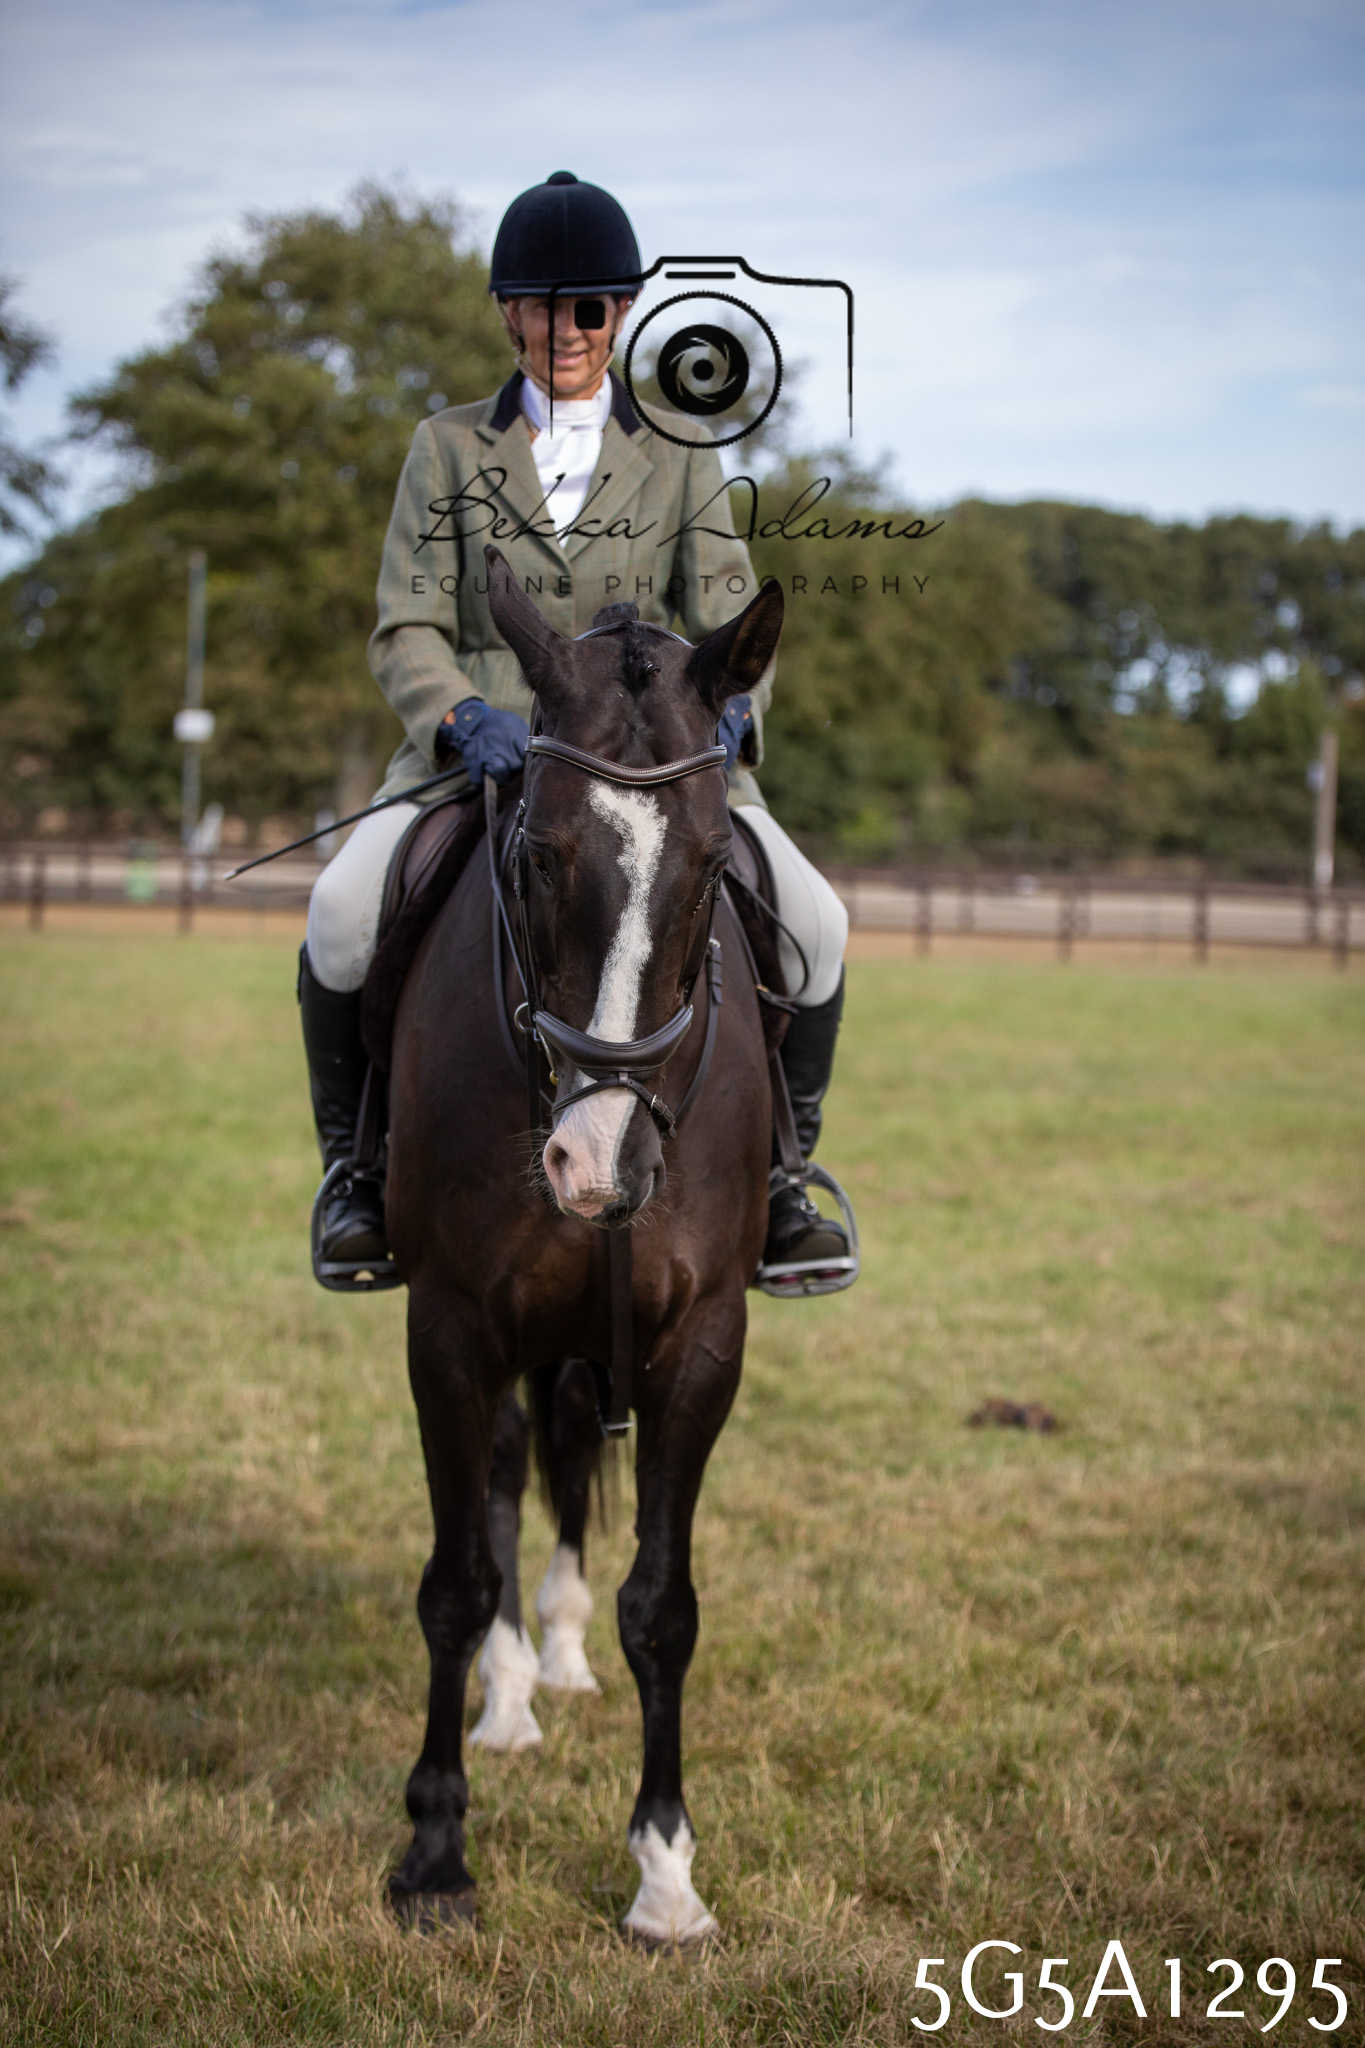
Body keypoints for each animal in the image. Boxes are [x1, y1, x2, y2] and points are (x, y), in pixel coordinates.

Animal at [382, 544, 785, 1944]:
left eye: (714, 867)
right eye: (540, 857)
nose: (598, 1165)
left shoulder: (704, 1341)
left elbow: (663, 1606)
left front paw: (665, 1872)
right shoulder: (449, 1326)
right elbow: (454, 1579)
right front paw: (435, 1852)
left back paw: (550, 1658)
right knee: (508, 1484)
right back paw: (511, 1693)